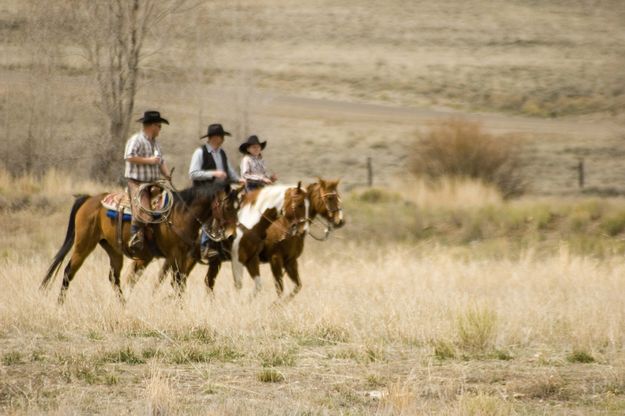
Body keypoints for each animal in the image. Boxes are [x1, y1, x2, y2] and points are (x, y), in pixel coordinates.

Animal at [39, 181, 239, 302]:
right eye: (228, 207)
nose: (231, 235)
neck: (180, 214)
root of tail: (89, 199)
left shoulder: (183, 256)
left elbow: (180, 282)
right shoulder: (175, 255)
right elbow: (177, 282)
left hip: (113, 250)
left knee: (114, 278)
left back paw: (124, 306)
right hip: (84, 244)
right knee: (68, 271)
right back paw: (59, 304)